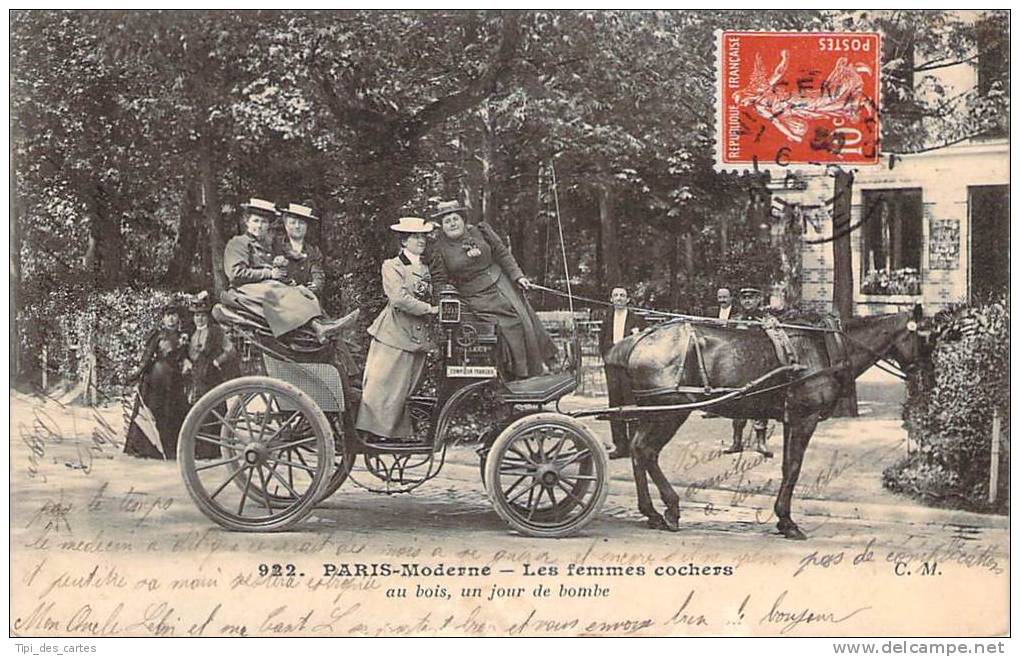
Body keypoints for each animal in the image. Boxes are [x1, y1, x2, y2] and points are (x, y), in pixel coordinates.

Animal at [603, 308, 926, 538]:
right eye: (924, 336)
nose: (922, 376)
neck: (824, 347)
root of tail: (638, 339)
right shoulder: (804, 419)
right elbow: (793, 468)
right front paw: (788, 521)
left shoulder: (790, 420)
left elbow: (786, 467)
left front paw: (783, 519)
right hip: (669, 411)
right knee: (645, 451)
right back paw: (668, 509)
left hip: (653, 410)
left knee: (638, 451)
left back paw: (653, 512)